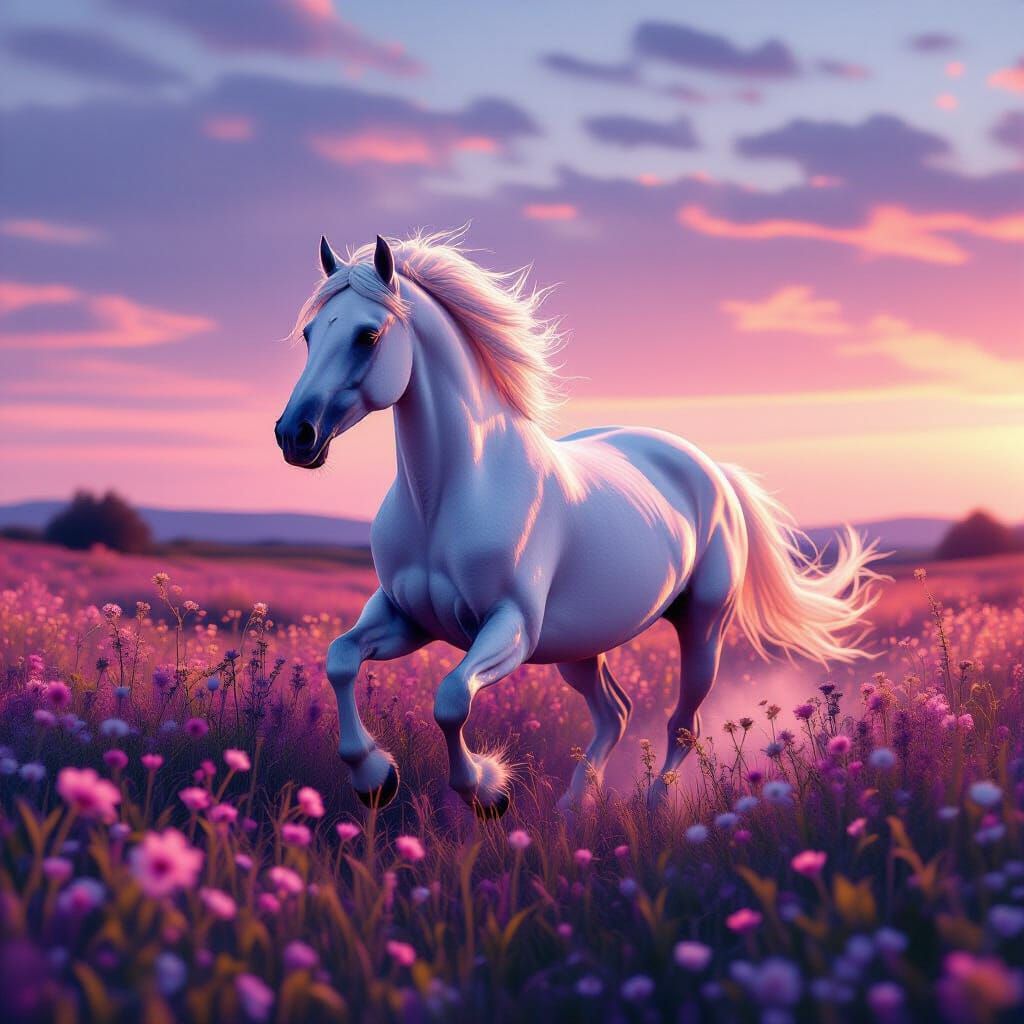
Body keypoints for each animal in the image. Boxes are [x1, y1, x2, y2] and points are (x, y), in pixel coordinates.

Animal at [275, 229, 883, 815]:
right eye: (308, 335)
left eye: (368, 336)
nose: (294, 435)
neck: (449, 496)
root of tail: (714, 471)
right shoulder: (407, 617)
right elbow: (340, 660)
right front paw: (375, 779)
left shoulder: (511, 628)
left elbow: (451, 700)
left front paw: (488, 792)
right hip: (580, 648)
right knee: (615, 712)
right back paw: (573, 805)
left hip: (703, 627)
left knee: (682, 724)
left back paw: (654, 805)